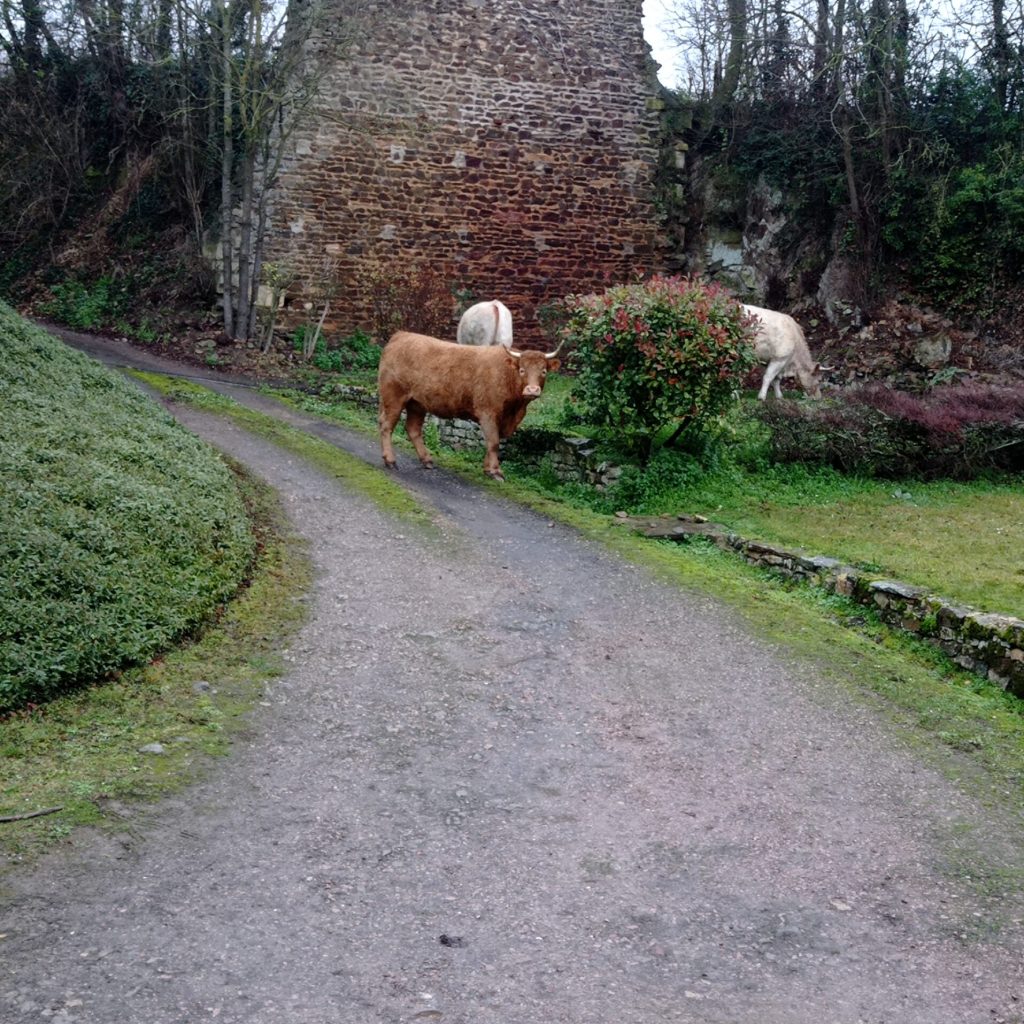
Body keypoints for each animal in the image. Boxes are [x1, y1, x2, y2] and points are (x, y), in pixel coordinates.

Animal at [380, 331, 565, 483]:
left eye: (543, 371)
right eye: (522, 370)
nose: (532, 389)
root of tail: (401, 335)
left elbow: (493, 442)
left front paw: (487, 469)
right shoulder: (488, 412)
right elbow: (493, 442)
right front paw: (496, 471)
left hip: (417, 403)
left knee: (413, 429)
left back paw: (427, 460)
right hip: (393, 397)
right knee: (387, 426)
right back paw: (390, 460)